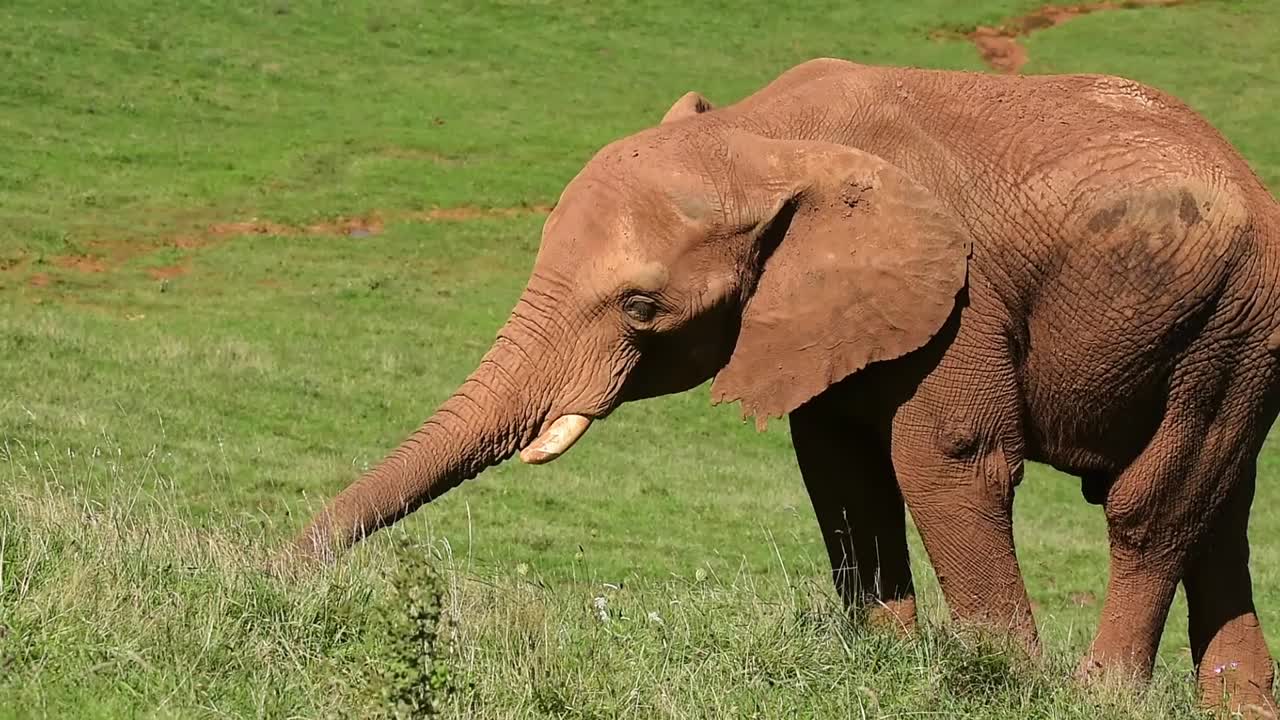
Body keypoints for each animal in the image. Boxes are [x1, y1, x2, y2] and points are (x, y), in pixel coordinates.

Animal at [290, 59, 1280, 714]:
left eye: (642, 308)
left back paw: (1102, 694)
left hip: (1237, 320)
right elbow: (838, 470)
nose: (274, 576)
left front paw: (1001, 688)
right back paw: (1237, 706)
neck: (763, 136)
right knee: (1218, 516)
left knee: (1153, 505)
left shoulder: (964, 293)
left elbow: (950, 458)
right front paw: (886, 666)